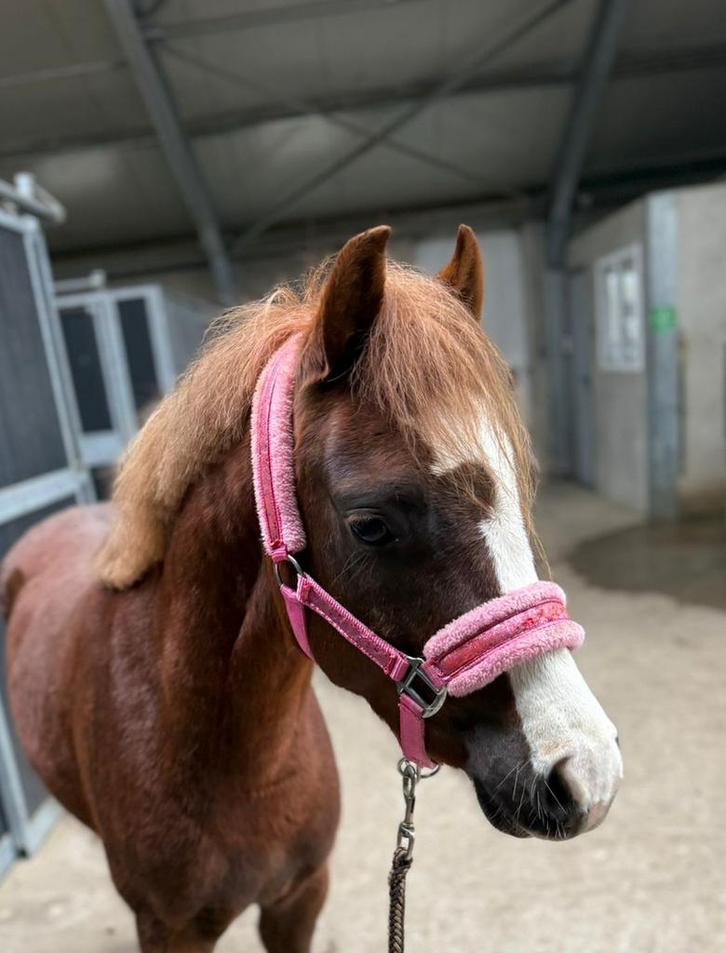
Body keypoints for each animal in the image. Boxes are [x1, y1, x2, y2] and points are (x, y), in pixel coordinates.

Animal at [2, 225, 622, 953]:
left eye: (521, 488)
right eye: (370, 524)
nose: (585, 773)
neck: (232, 757)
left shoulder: (299, 898)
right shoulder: (171, 929)